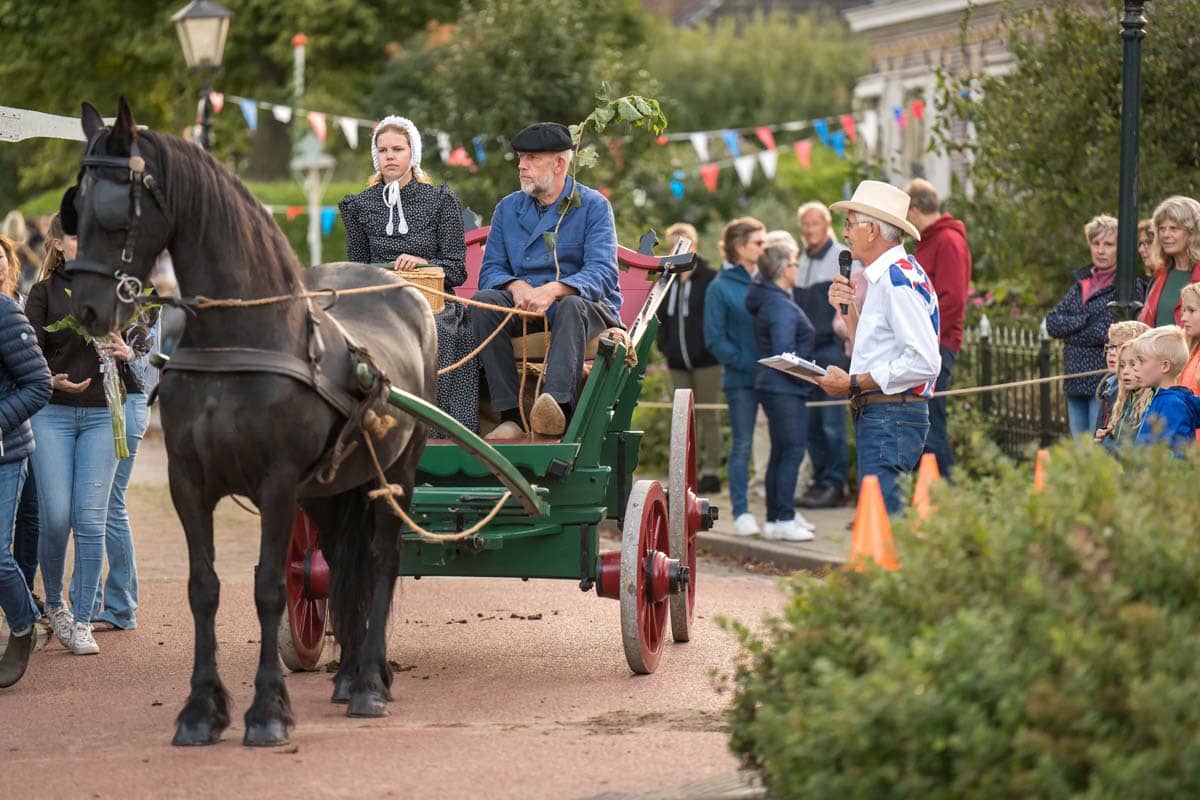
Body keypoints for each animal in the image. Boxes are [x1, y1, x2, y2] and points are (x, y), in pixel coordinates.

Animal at [65, 101, 436, 753]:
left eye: (115, 212)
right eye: (75, 208)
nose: (86, 310)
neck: (234, 343)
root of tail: (403, 293)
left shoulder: (278, 484)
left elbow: (267, 587)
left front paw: (266, 712)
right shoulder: (189, 483)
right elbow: (204, 588)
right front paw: (200, 711)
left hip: (398, 472)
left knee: (382, 559)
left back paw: (369, 681)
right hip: (335, 487)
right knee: (343, 563)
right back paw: (349, 675)